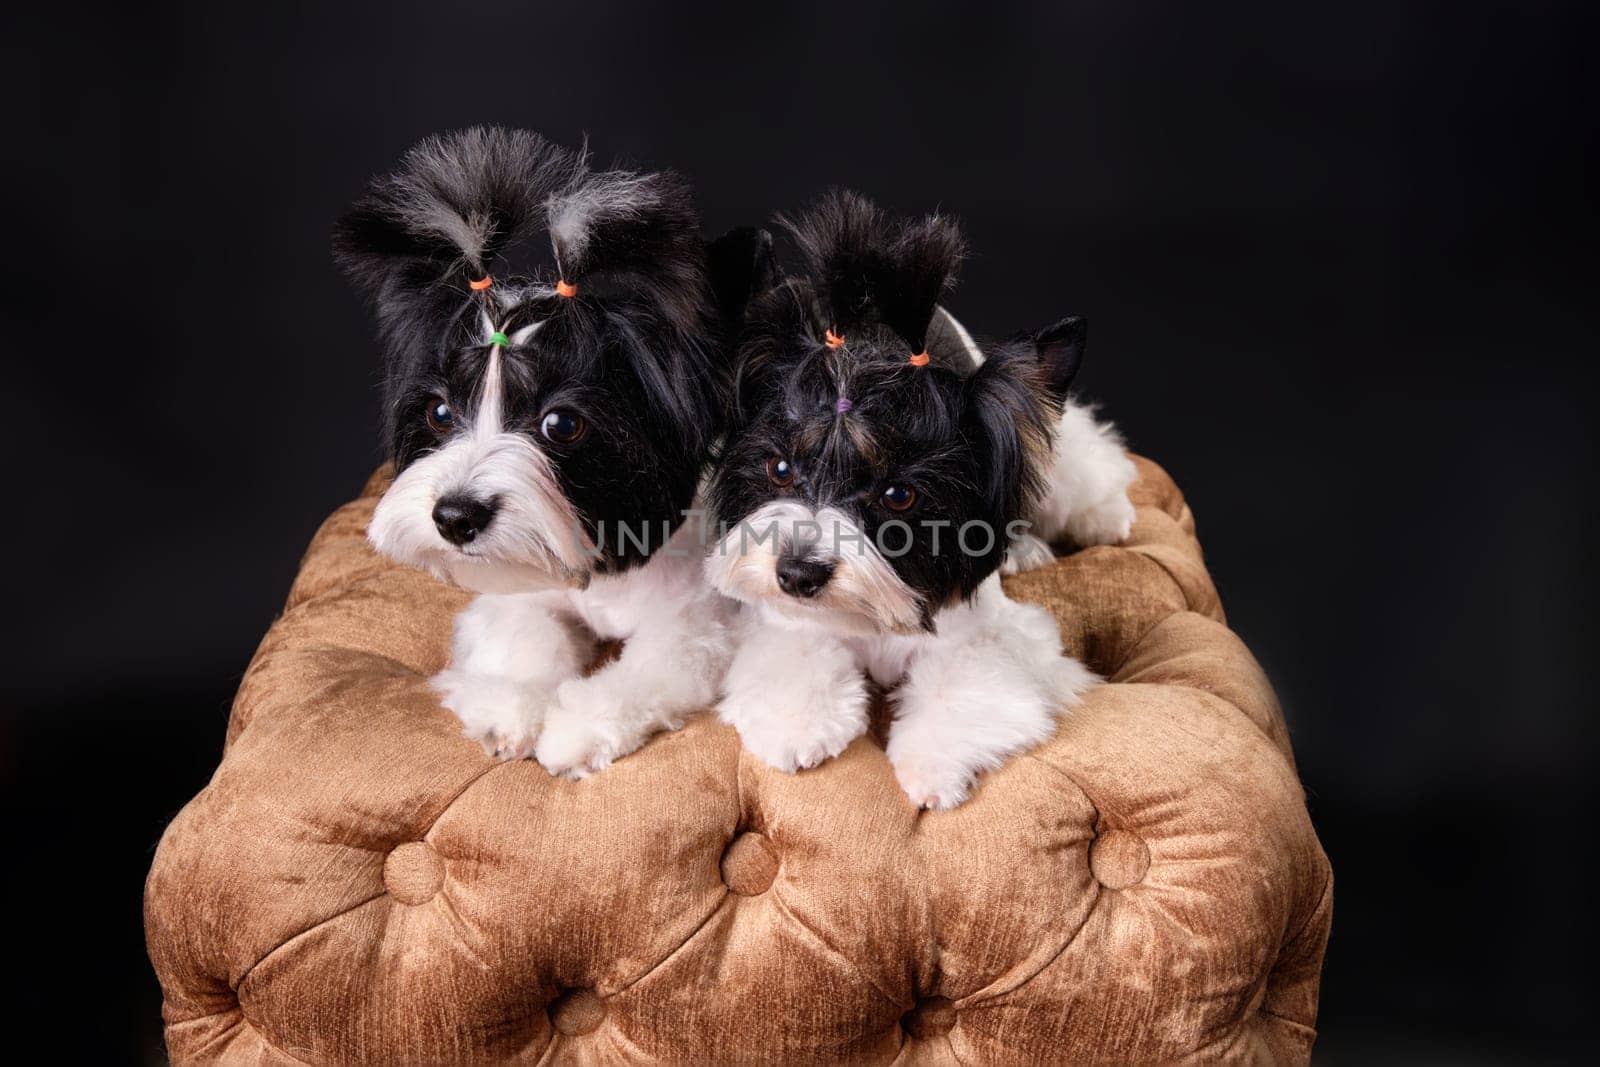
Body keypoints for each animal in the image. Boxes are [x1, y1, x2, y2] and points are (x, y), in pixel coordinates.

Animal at [336, 129, 761, 777]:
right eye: (439, 413)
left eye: (561, 424)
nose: (455, 517)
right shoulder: (520, 588)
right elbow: (522, 636)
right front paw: (510, 707)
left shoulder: (697, 623)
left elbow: (651, 667)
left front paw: (576, 727)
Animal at [704, 191, 1139, 809]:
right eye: (780, 469)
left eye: (899, 494)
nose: (797, 574)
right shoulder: (788, 623)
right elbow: (797, 652)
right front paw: (797, 726)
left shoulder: (986, 635)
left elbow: (966, 680)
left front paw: (931, 765)